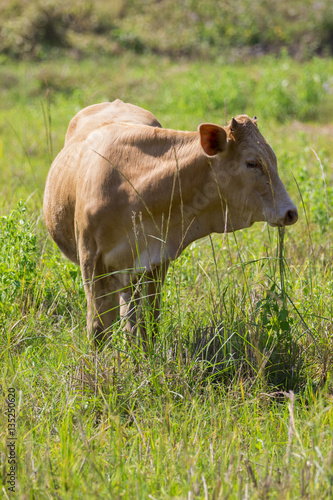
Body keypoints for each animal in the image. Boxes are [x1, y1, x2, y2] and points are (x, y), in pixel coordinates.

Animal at [42, 99, 296, 346]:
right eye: (252, 163)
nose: (290, 212)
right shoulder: (92, 262)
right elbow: (98, 330)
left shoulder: (157, 261)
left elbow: (148, 323)